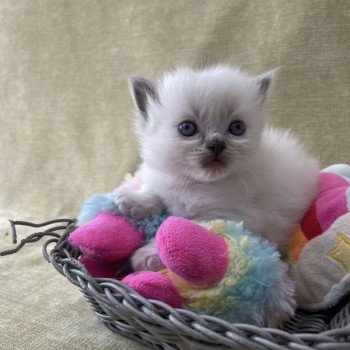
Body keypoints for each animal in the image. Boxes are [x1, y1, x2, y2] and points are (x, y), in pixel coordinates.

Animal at [117, 65, 320, 270]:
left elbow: (183, 228)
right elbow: (155, 194)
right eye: (187, 128)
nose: (217, 144)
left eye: (237, 128)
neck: (195, 185)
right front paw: (133, 201)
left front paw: (147, 255)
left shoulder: (227, 217)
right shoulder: (165, 181)